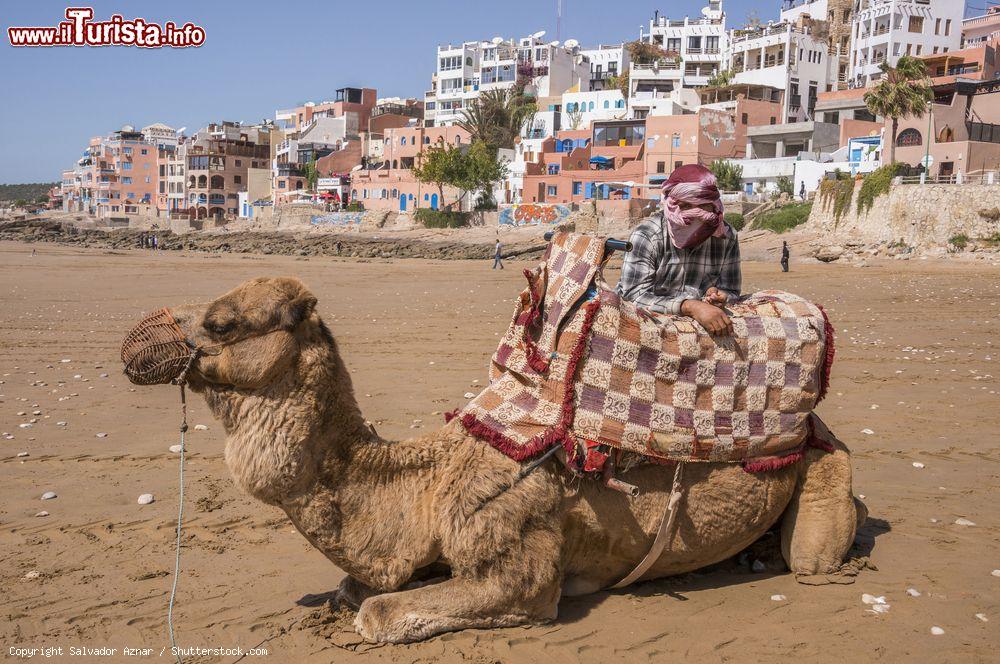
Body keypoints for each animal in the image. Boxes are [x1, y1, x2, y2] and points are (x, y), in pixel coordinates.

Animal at [127, 276, 868, 644]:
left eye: (222, 322)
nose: (138, 339)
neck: (423, 483)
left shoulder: (517, 549)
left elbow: (380, 613)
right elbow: (353, 588)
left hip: (823, 465)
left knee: (814, 550)